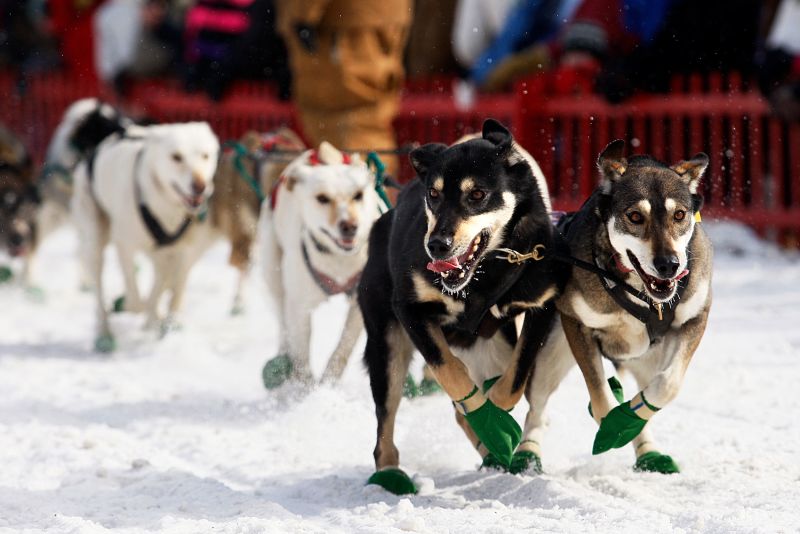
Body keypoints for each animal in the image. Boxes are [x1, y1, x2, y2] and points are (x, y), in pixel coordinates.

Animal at [360, 119, 572, 496]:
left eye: (477, 195)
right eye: (433, 195)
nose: (437, 245)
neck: (483, 277)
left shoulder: (541, 307)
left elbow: (514, 381)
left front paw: (496, 424)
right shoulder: (410, 311)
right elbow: (451, 373)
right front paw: (490, 422)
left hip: (493, 347)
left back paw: (493, 452)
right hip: (387, 348)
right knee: (386, 423)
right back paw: (390, 472)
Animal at [520, 140, 716, 476]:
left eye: (679, 214)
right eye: (635, 216)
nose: (669, 264)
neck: (641, 295)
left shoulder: (695, 318)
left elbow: (667, 385)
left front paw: (627, 420)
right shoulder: (577, 324)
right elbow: (600, 395)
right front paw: (611, 424)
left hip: (646, 358)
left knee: (647, 393)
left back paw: (648, 450)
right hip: (550, 354)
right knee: (537, 408)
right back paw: (526, 454)